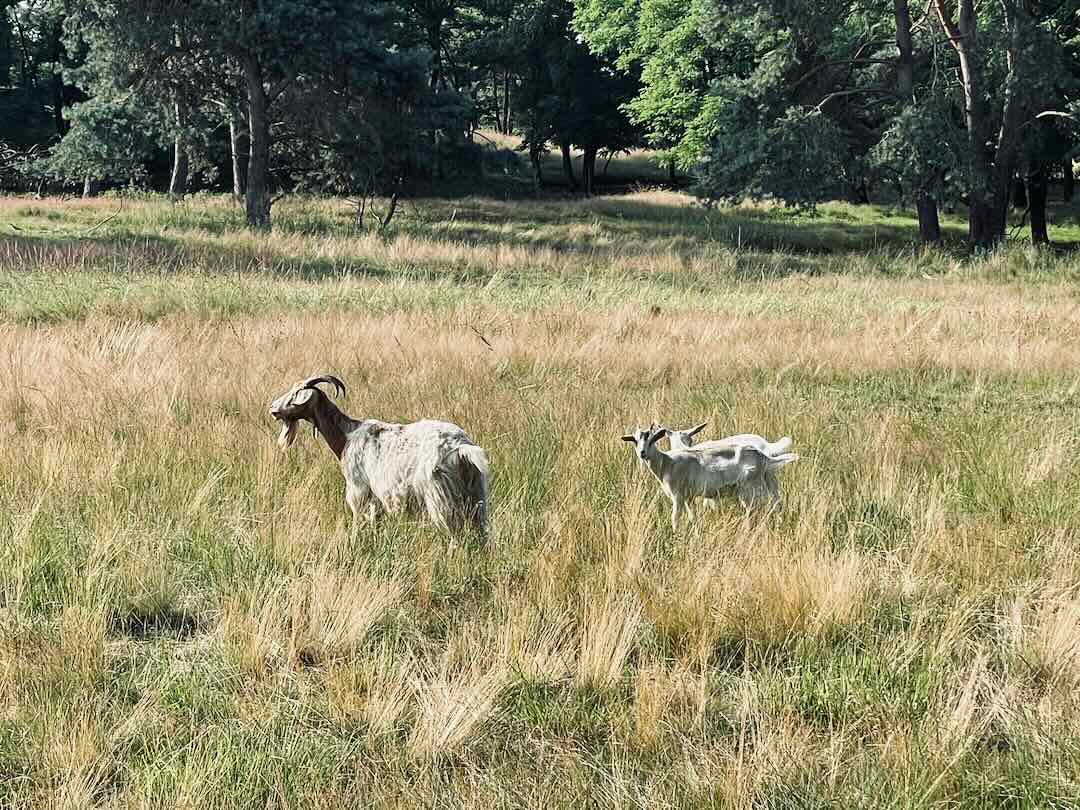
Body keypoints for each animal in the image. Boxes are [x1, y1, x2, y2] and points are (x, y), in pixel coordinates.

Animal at [269, 374, 490, 537]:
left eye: (295, 395)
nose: (272, 409)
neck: (346, 436)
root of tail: (461, 448)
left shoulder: (359, 491)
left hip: (440, 497)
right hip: (476, 495)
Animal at [621, 423, 796, 529]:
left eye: (652, 440)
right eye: (635, 440)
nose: (642, 453)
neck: (667, 462)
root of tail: (764, 456)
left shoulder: (678, 496)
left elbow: (675, 518)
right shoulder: (689, 497)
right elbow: (693, 517)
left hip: (750, 489)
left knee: (755, 510)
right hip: (767, 482)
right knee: (775, 504)